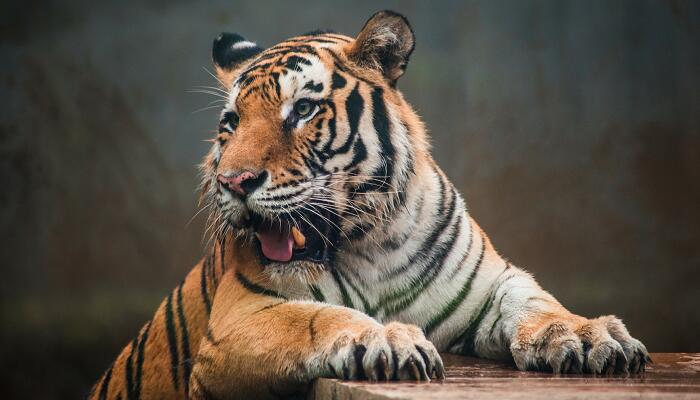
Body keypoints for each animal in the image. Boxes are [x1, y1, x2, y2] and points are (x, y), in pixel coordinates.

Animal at [89, 9, 652, 400]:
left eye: (303, 109)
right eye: (231, 123)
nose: (233, 181)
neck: (372, 242)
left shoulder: (491, 283)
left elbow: (537, 302)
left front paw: (587, 335)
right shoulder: (238, 318)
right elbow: (316, 317)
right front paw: (389, 340)